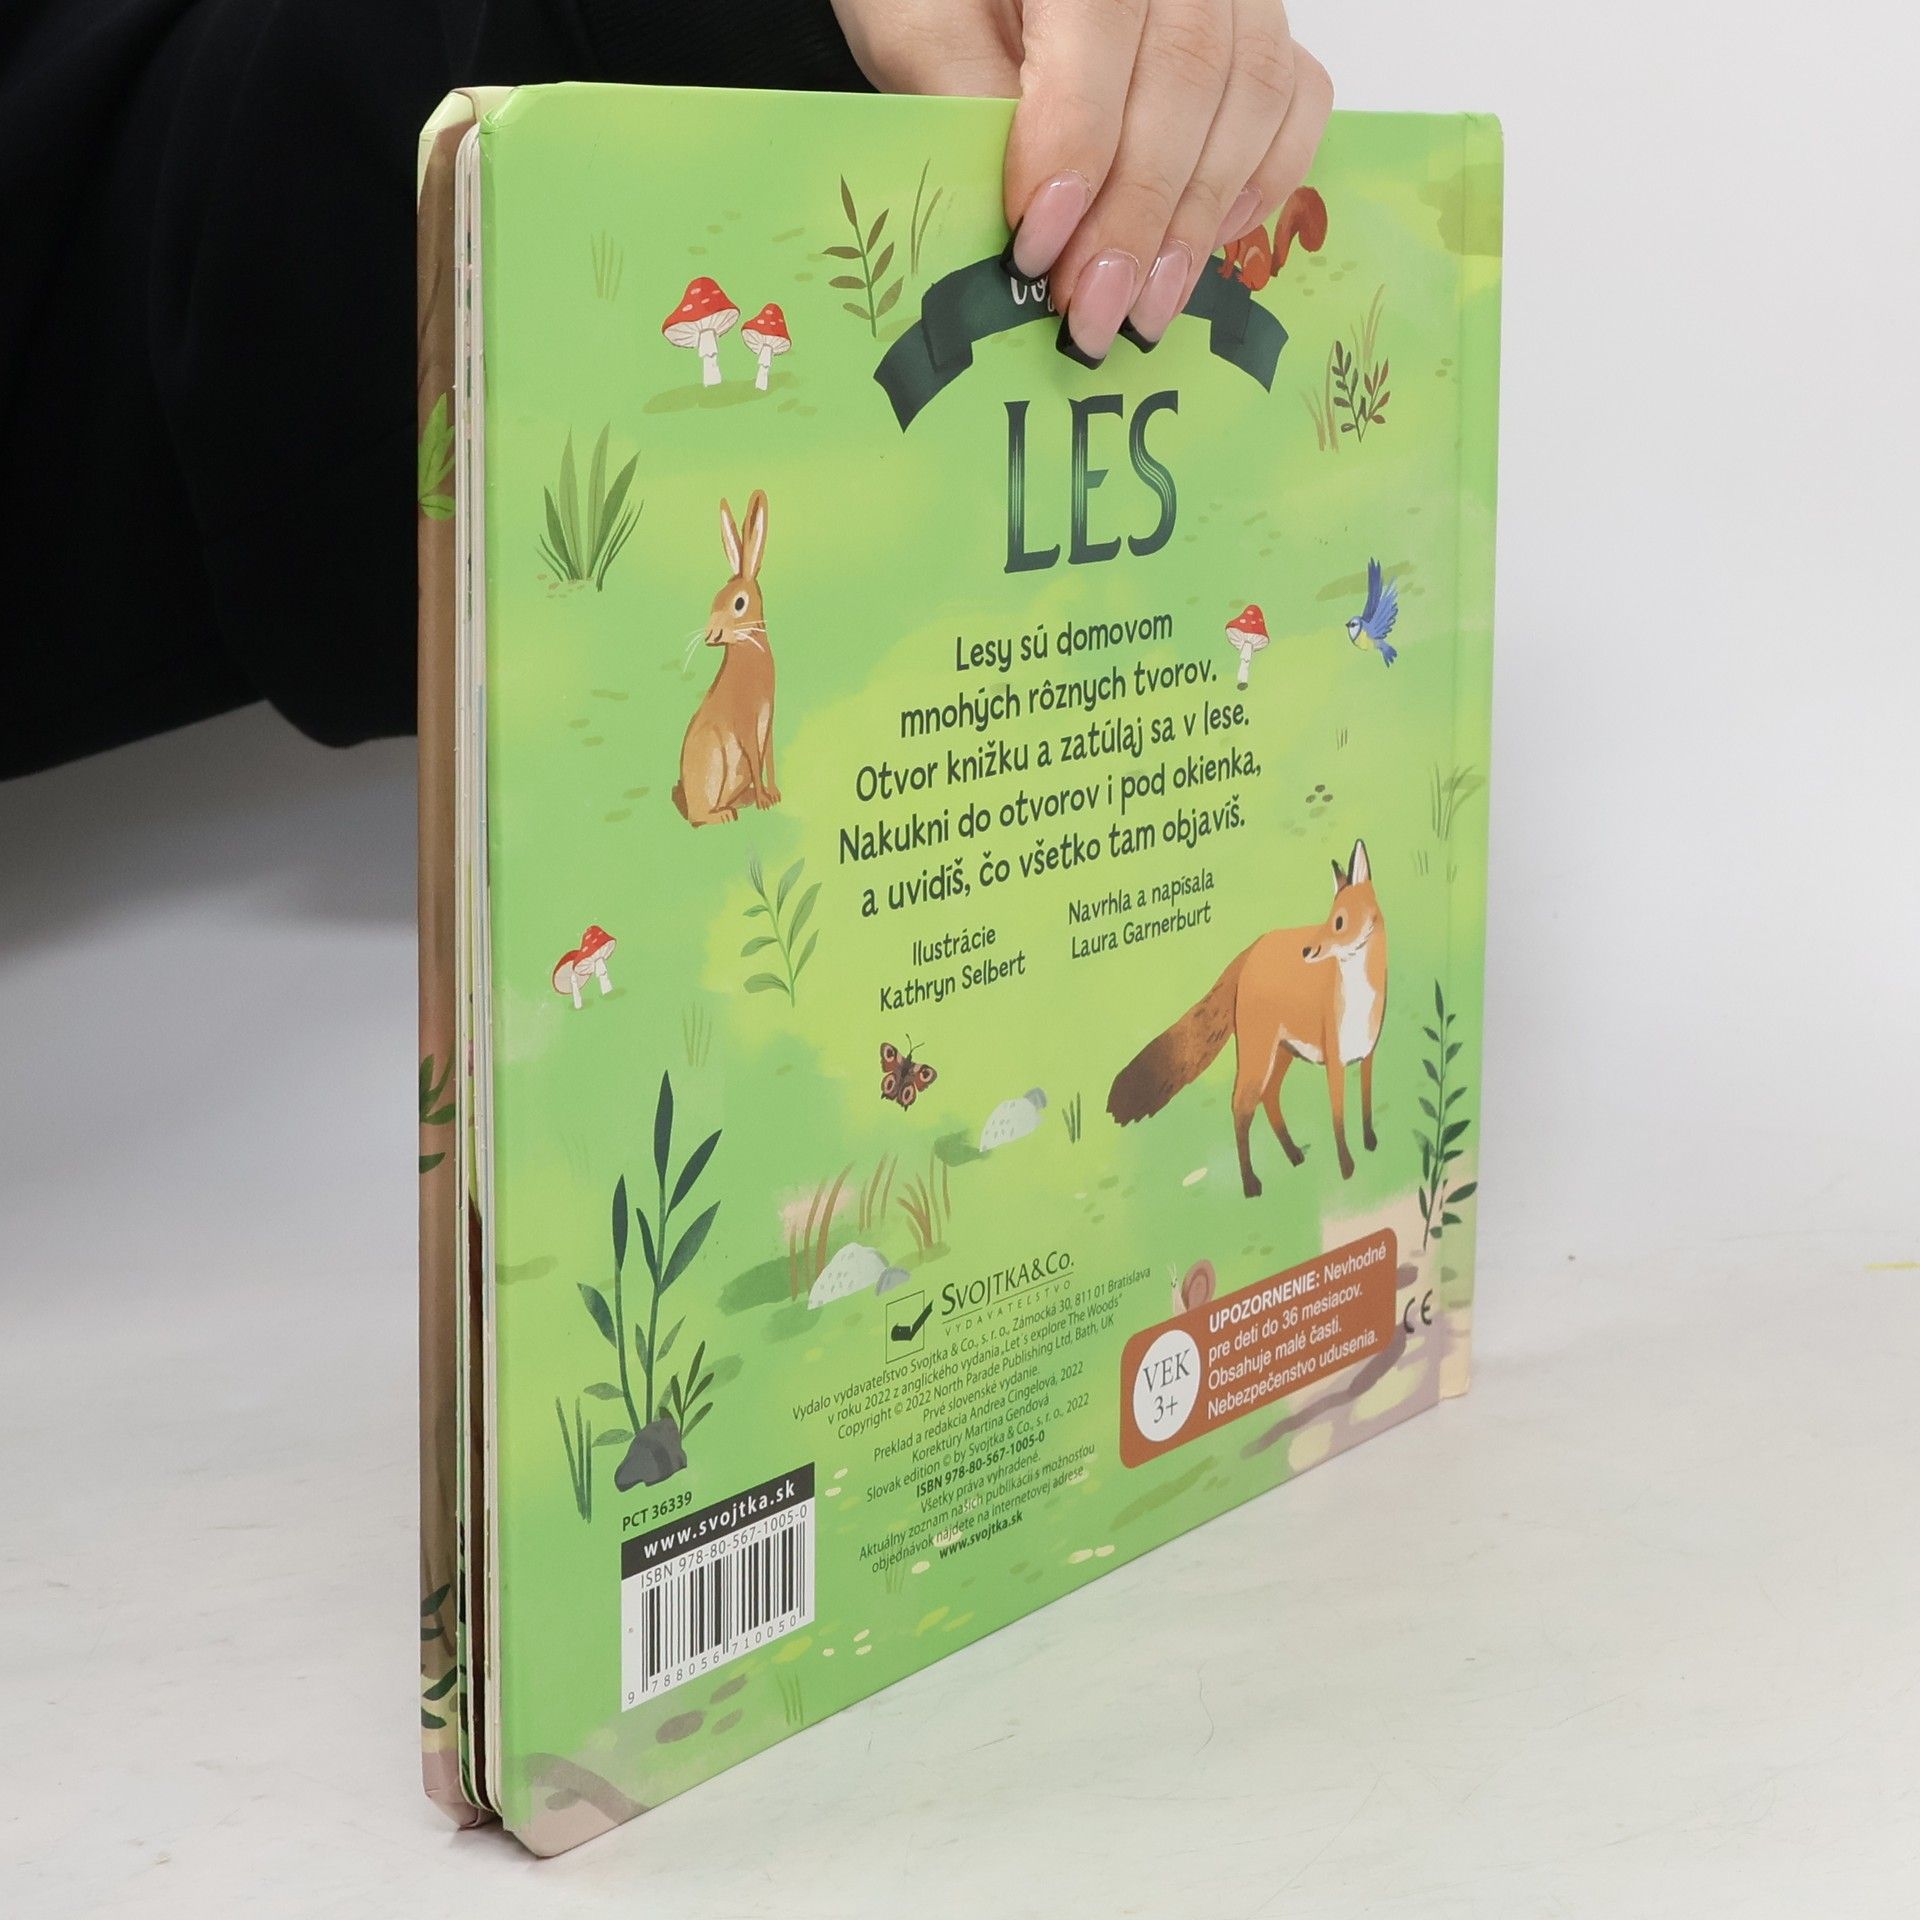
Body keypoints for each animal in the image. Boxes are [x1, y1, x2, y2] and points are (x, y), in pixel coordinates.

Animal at [672, 490, 780, 826]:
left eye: (739, 603)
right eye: (714, 600)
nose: (711, 635)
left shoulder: (768, 720)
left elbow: (769, 759)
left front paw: (774, 795)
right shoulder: (745, 724)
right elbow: (757, 760)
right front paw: (765, 801)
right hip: (715, 756)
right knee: (699, 818)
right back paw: (723, 814)